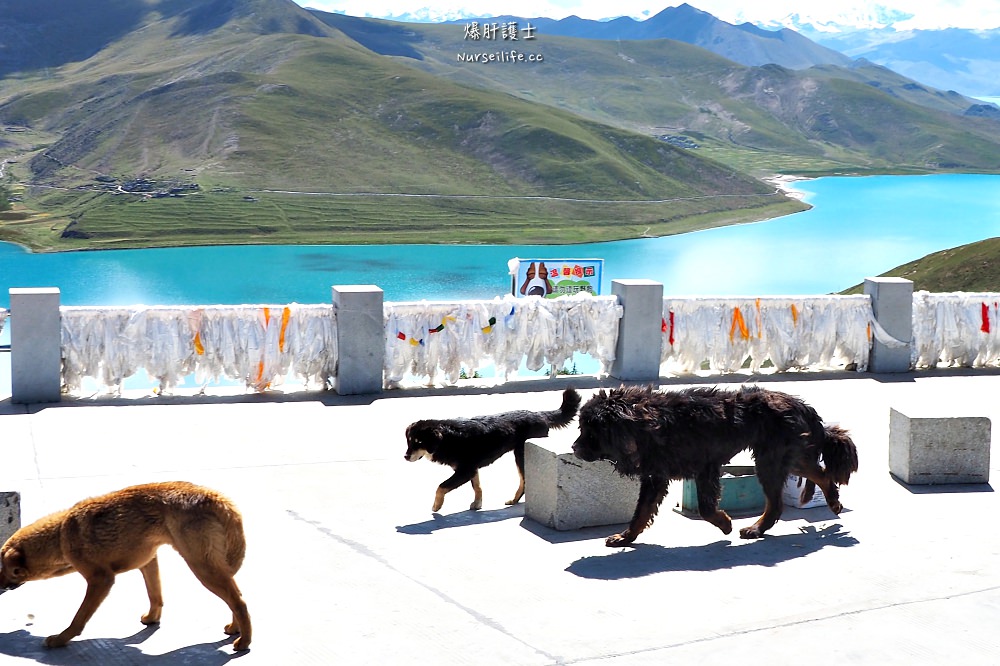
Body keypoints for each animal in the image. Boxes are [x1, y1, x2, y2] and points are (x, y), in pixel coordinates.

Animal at [0, 482, 250, 648]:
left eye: (2, 567)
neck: (61, 534)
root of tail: (216, 497)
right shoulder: (148, 561)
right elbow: (155, 596)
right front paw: (152, 619)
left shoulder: (101, 579)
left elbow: (79, 617)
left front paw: (62, 638)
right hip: (212, 566)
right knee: (235, 596)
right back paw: (235, 628)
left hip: (201, 565)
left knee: (239, 602)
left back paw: (244, 640)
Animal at [404, 386, 584, 510]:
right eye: (409, 441)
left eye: (418, 442)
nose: (405, 457)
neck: (449, 437)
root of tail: (540, 414)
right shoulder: (472, 469)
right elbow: (477, 487)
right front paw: (477, 504)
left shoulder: (464, 471)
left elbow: (441, 486)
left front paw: (437, 506)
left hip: (521, 455)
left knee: (524, 481)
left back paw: (514, 500)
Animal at [576, 384, 856, 544]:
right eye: (583, 429)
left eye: (592, 433)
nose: (575, 448)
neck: (651, 423)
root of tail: (801, 405)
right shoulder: (656, 476)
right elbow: (641, 513)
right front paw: (626, 537)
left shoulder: (705, 468)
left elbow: (706, 509)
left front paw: (725, 523)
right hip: (783, 457)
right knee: (817, 474)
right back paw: (830, 501)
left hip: (772, 459)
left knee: (785, 497)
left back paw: (757, 529)